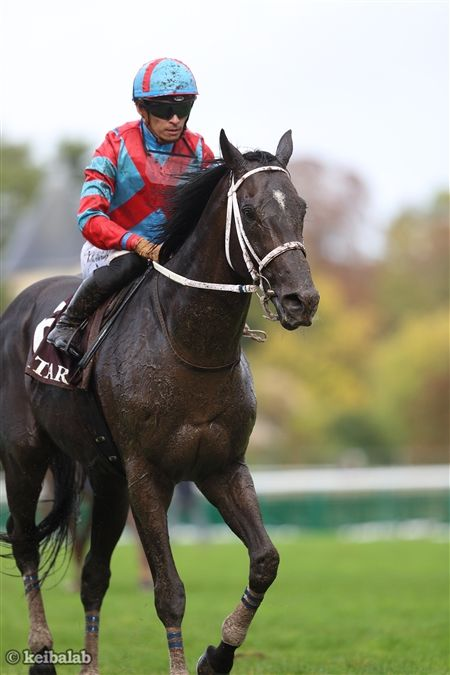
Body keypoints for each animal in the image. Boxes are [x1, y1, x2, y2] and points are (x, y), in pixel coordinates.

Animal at [0, 129, 319, 675]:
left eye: (299, 206)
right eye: (250, 211)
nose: (302, 299)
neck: (187, 345)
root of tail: (18, 304)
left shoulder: (221, 467)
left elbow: (265, 561)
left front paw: (217, 655)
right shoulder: (148, 474)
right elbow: (169, 592)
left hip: (105, 479)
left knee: (94, 578)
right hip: (24, 456)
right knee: (25, 545)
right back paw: (41, 652)